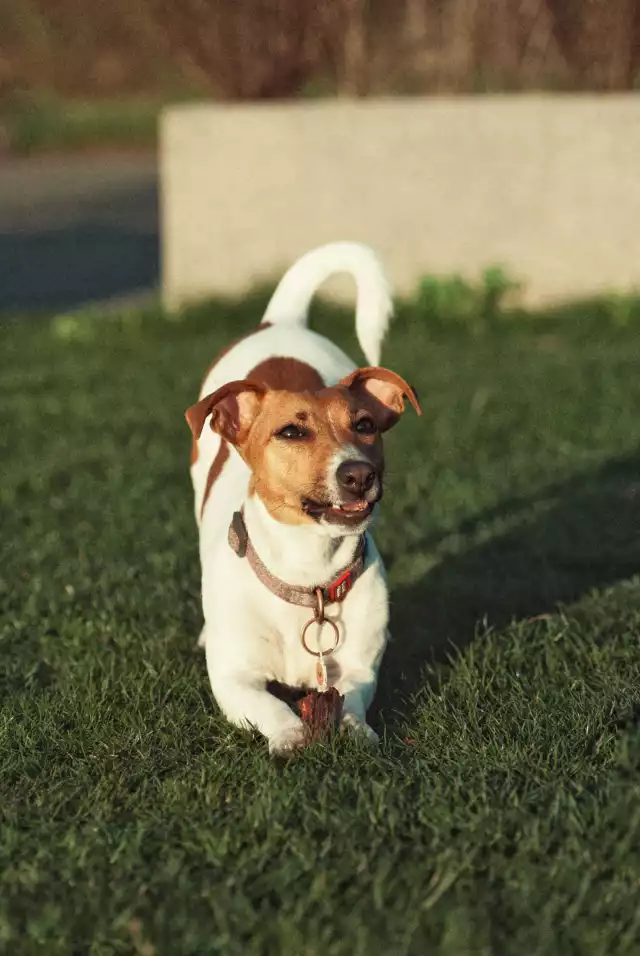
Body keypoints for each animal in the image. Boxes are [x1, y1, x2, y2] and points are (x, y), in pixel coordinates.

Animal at [185, 245, 420, 756]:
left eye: (365, 425)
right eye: (291, 432)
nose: (360, 474)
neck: (309, 572)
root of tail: (282, 321)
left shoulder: (358, 669)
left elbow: (353, 699)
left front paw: (355, 731)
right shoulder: (235, 681)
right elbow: (268, 705)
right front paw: (291, 733)